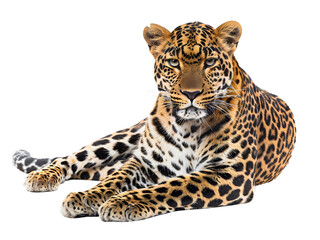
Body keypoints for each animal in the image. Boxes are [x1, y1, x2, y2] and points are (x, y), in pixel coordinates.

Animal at [13, 20, 298, 221]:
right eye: (173, 62)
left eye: (209, 62)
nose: (191, 93)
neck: (187, 127)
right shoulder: (146, 162)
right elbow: (115, 178)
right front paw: (88, 196)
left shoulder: (229, 172)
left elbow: (175, 186)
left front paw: (124, 202)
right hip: (122, 136)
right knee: (74, 158)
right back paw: (43, 176)